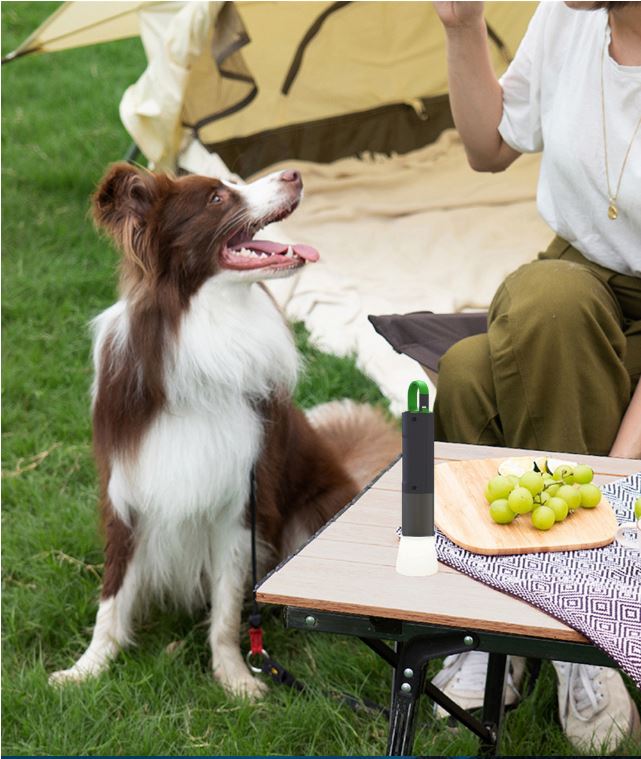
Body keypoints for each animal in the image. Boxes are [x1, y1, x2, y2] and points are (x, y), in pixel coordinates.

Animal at [50, 163, 398, 696]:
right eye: (216, 197)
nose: (294, 172)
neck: (201, 331)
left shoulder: (241, 502)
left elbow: (230, 606)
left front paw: (235, 676)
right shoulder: (127, 490)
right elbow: (112, 594)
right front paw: (87, 669)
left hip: (310, 514)